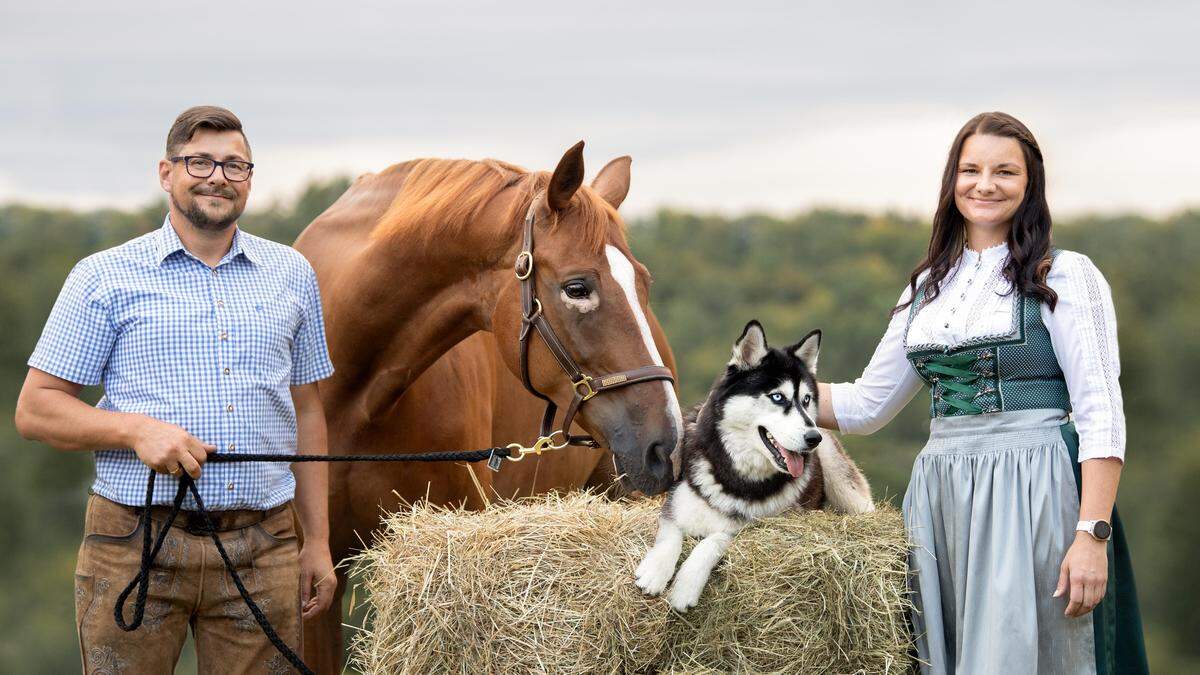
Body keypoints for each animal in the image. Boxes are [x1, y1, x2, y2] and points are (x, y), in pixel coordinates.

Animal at [638, 319, 873, 610]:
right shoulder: (675, 503)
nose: (812, 438)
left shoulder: (752, 526)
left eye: (806, 400)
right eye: (778, 397)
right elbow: (671, 533)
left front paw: (686, 585)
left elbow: (715, 540)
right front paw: (655, 570)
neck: (739, 475)